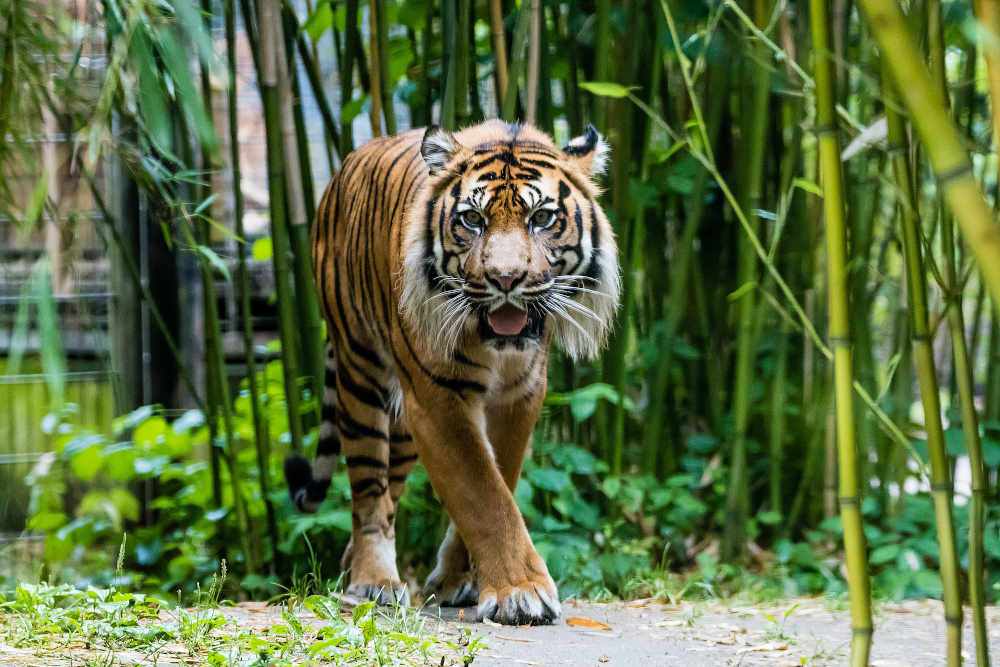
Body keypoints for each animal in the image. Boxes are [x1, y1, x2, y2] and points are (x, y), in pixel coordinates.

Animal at [286, 120, 620, 628]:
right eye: (472, 220)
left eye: (542, 218)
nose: (506, 280)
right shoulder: (437, 397)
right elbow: (482, 492)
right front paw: (522, 593)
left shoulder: (519, 396)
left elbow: (498, 481)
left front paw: (458, 580)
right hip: (360, 372)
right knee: (369, 491)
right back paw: (373, 582)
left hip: (404, 425)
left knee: (390, 491)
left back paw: (354, 564)